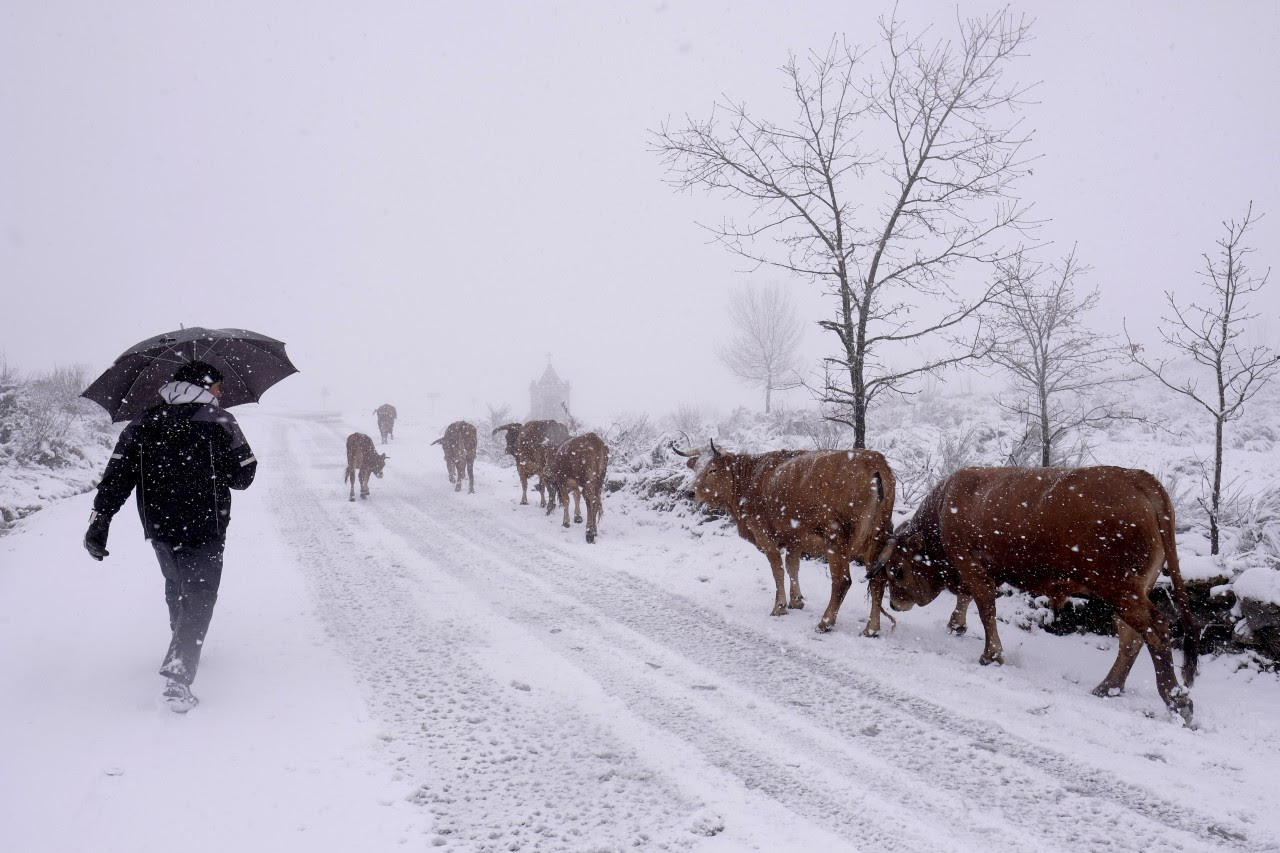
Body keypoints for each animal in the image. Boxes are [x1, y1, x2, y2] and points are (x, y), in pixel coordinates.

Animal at [675, 438, 896, 630]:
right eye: (696, 467)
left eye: (712, 469)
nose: (688, 492)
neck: (749, 480)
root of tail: (873, 459)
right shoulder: (794, 538)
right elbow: (792, 567)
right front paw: (796, 600)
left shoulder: (765, 536)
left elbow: (778, 570)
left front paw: (779, 606)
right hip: (878, 537)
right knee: (878, 581)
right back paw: (872, 628)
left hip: (837, 540)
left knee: (842, 581)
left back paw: (826, 622)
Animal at [870, 466, 1198, 717]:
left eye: (897, 570)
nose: (895, 605)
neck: (943, 509)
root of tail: (1137, 478)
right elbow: (971, 600)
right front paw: (957, 626)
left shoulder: (972, 568)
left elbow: (986, 610)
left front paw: (991, 655)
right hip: (1129, 592)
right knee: (1131, 636)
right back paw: (1108, 687)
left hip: (1120, 589)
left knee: (1155, 628)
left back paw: (1176, 699)